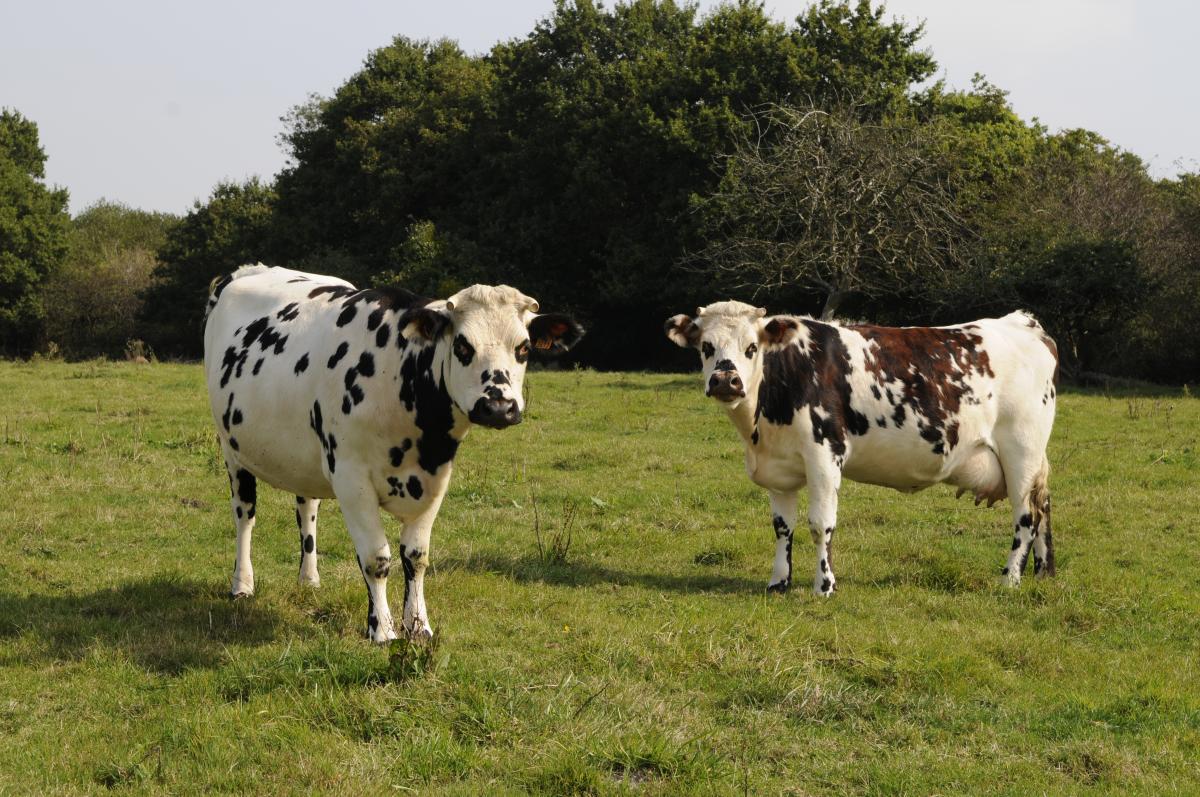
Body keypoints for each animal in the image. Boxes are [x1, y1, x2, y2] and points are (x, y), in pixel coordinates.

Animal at [203, 264, 582, 642]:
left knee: (307, 508)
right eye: (462, 345)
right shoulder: (351, 477)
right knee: (244, 515)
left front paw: (418, 626)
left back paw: (309, 579)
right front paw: (382, 630)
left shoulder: (436, 479)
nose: (499, 407)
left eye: (524, 347)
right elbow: (377, 559)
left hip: (304, 459)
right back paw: (242, 584)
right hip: (232, 449)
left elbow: (416, 557)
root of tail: (251, 269)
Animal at [666, 302, 1058, 596]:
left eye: (752, 348)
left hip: (1021, 450)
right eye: (706, 347)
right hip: (1033, 458)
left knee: (1026, 516)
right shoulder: (778, 468)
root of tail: (1022, 322)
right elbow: (782, 527)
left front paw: (824, 586)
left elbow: (820, 524)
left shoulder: (824, 455)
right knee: (1044, 505)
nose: (725, 380)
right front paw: (779, 582)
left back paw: (1010, 579)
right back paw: (1043, 573)